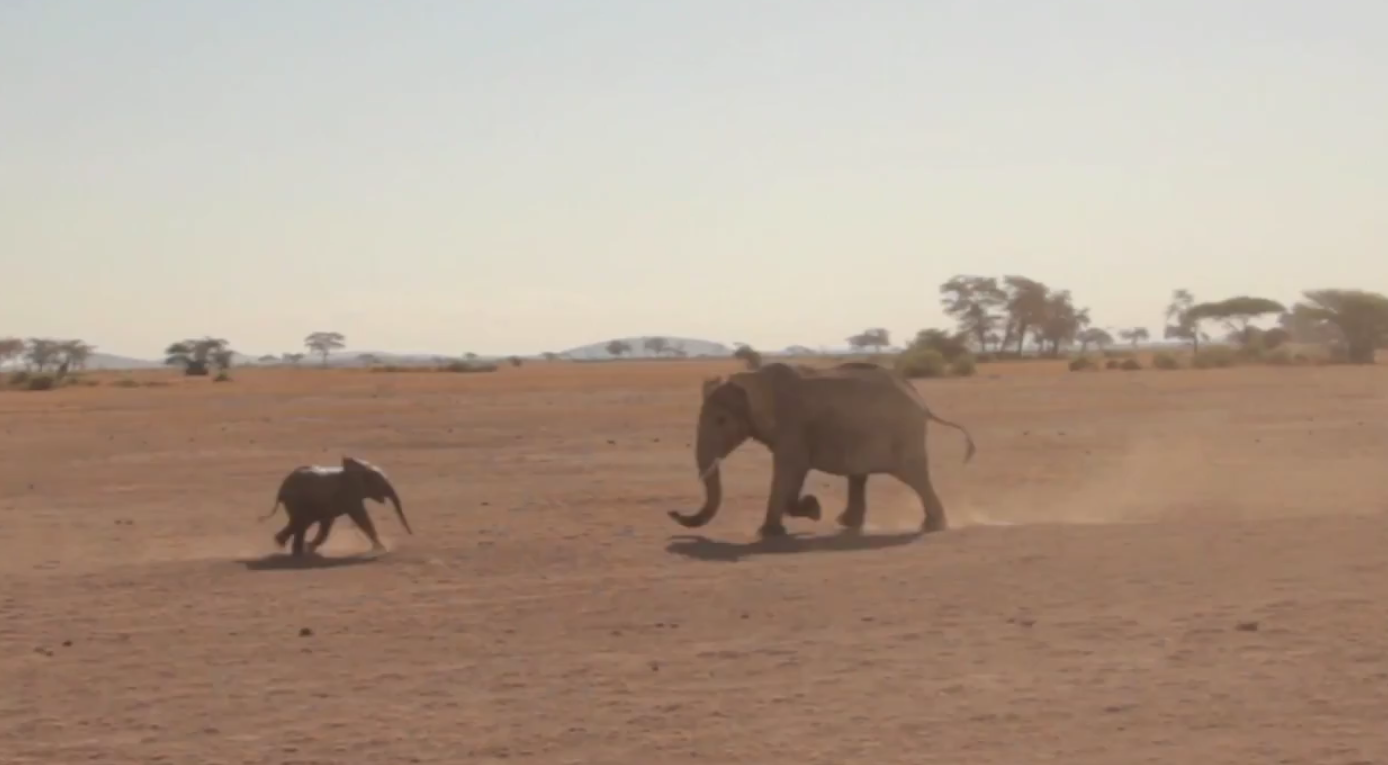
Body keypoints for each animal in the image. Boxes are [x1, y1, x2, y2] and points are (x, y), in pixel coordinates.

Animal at [260, 456, 413, 556]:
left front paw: (310, 547)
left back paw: (288, 547)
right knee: (300, 523)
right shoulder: (350, 495)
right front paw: (382, 549)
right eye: (381, 483)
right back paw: (295, 552)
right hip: (297, 501)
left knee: (300, 523)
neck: (361, 468)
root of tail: (281, 489)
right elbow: (361, 518)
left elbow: (327, 524)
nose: (411, 534)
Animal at [669, 361, 976, 538]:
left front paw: (777, 528)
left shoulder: (791, 424)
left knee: (913, 476)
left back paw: (932, 527)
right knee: (860, 476)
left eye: (721, 420)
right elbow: (794, 473)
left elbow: (790, 468)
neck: (752, 379)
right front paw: (808, 512)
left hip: (902, 434)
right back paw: (848, 524)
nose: (673, 513)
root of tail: (921, 402)